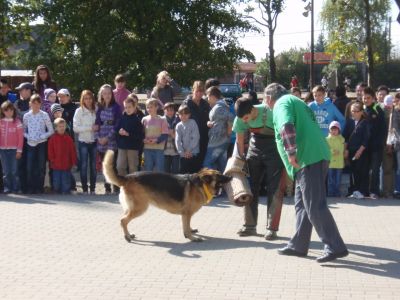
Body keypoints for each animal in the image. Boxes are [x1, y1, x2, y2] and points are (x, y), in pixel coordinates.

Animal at [103, 151, 233, 243]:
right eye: (219, 175)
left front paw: (190, 232)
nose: (230, 176)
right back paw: (128, 236)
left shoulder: (186, 215)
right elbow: (186, 227)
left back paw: (129, 235)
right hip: (140, 208)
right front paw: (192, 237)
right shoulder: (187, 214)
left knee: (123, 219)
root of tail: (127, 177)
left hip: (132, 208)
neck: (201, 184)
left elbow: (187, 225)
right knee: (123, 220)